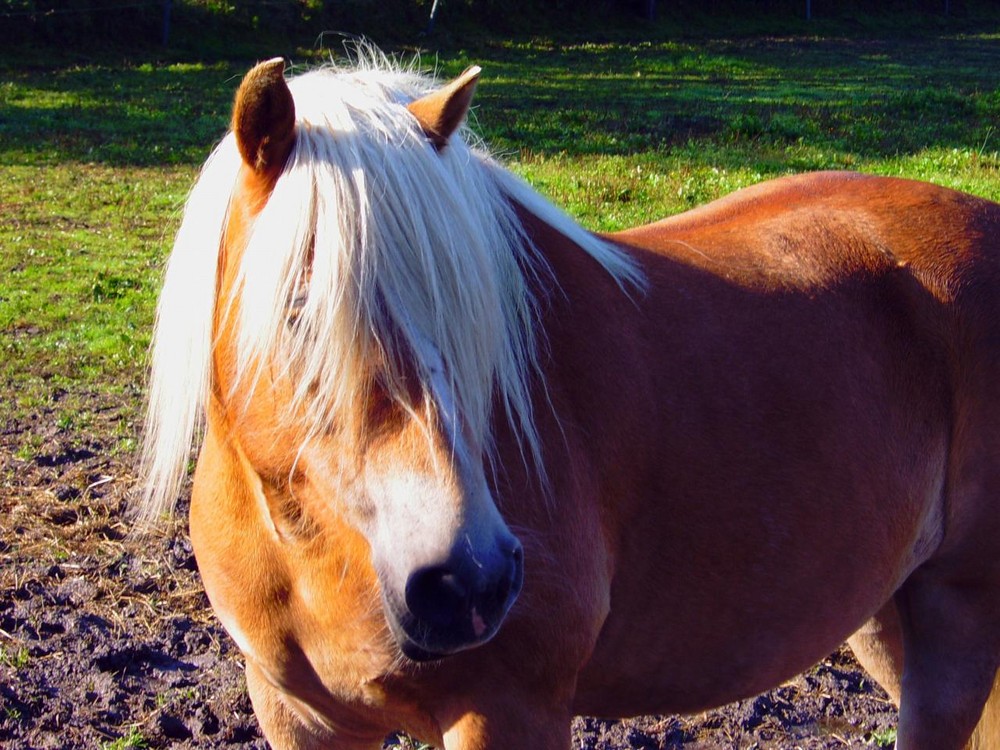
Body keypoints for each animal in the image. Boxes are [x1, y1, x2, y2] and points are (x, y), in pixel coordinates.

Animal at [139, 54, 1000, 750]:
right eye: (298, 307)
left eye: (476, 307)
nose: (468, 580)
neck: (309, 547)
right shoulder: (299, 716)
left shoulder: (508, 712)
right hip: (889, 614)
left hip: (959, 616)